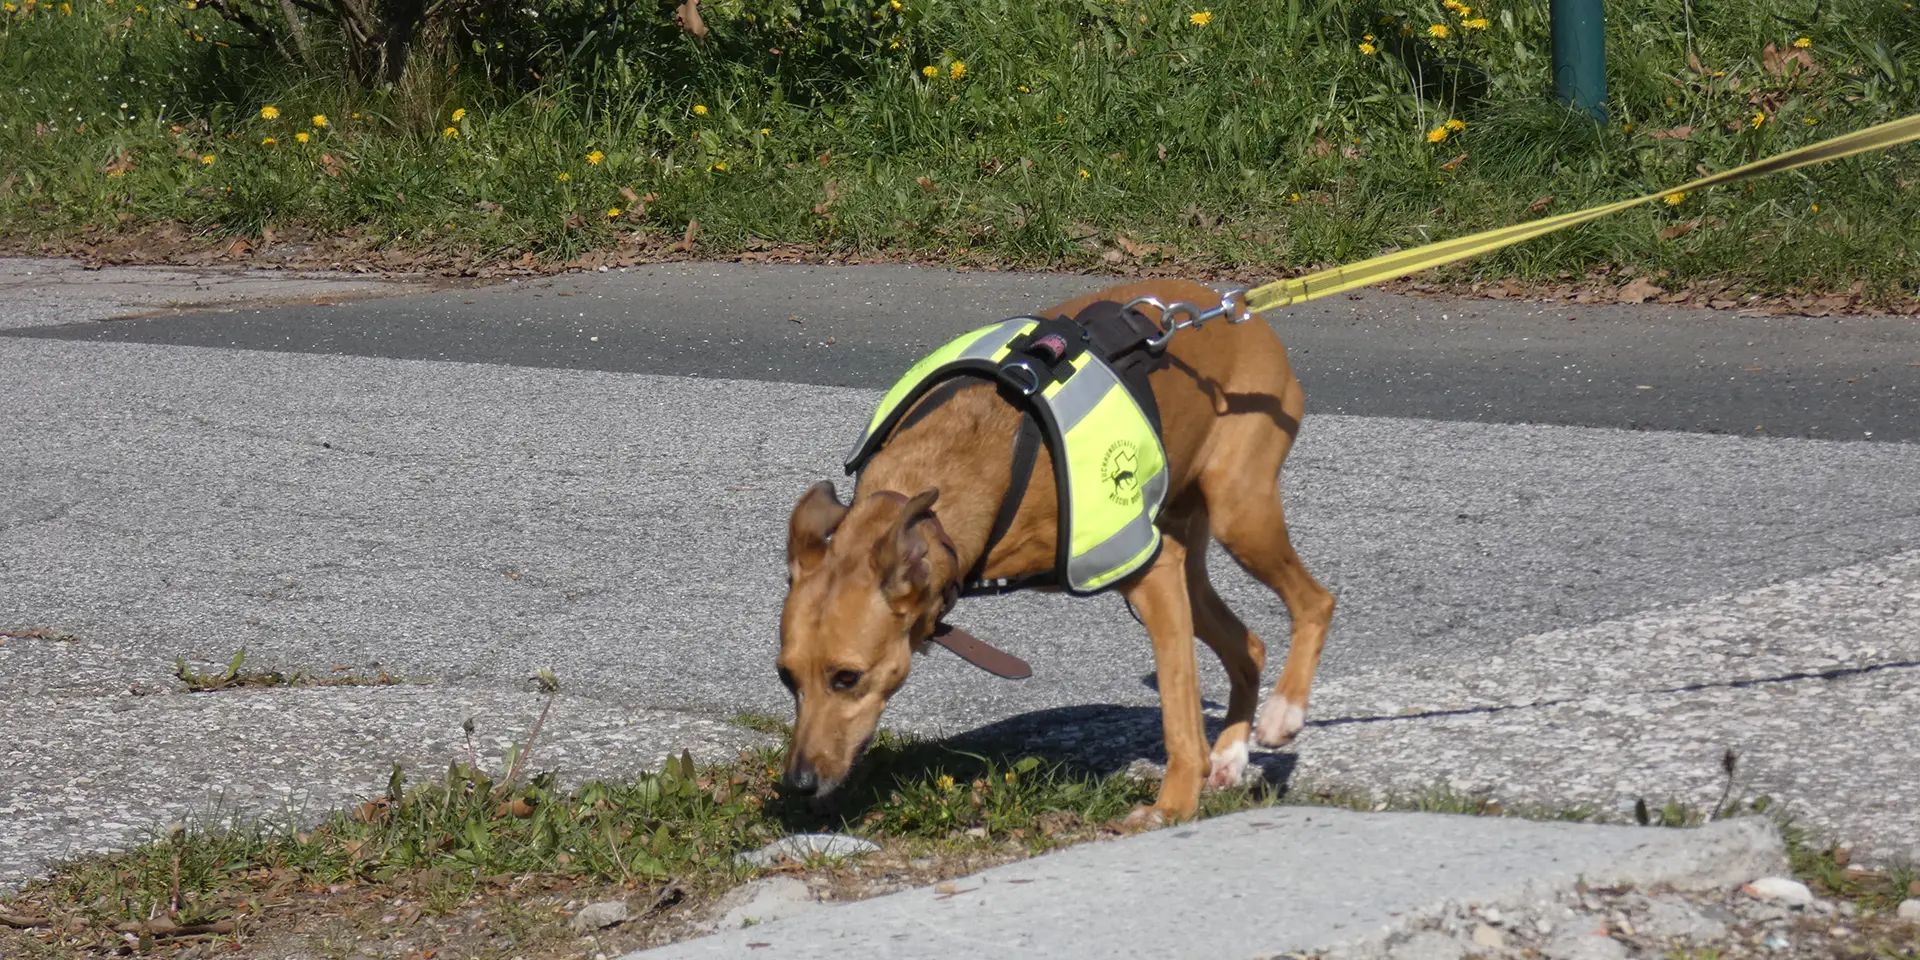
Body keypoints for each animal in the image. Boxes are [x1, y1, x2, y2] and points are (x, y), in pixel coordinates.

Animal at [779, 280, 1336, 825]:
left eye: (846, 677)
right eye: (786, 678)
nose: (798, 784)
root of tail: (1239, 309)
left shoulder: (1152, 571)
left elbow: (1179, 713)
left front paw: (1174, 805)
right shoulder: (1159, 571)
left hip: (1238, 517)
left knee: (1316, 602)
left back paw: (1283, 712)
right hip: (1187, 559)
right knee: (1249, 647)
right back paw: (1231, 756)